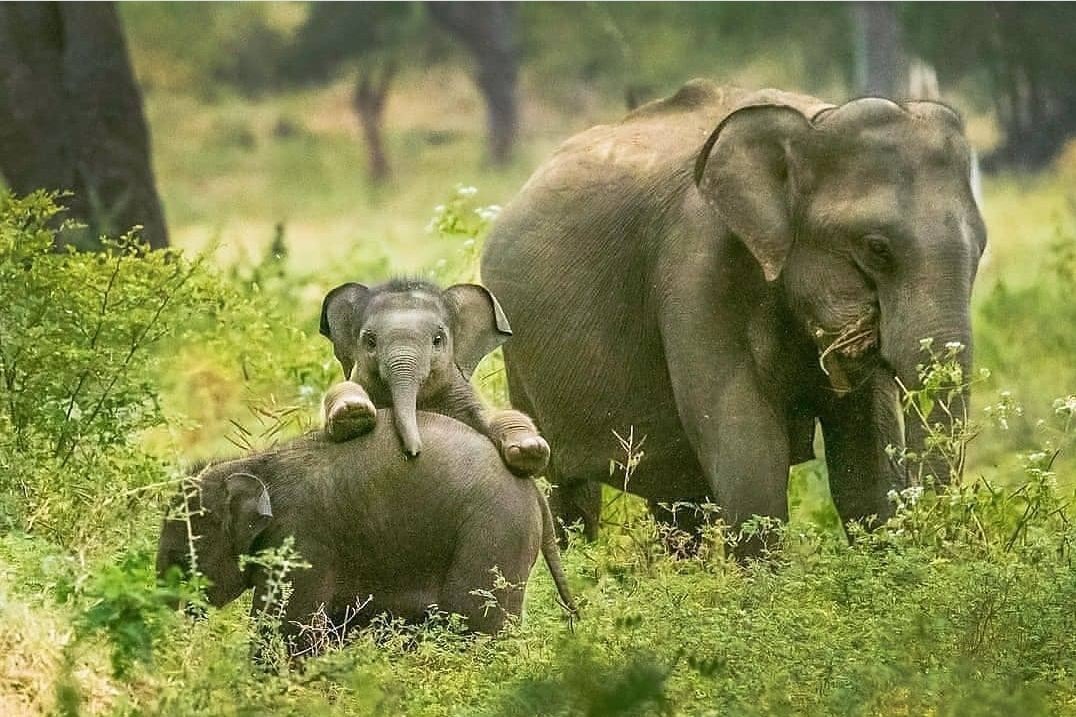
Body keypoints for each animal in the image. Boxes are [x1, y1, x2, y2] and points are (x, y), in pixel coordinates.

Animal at [156, 410, 576, 656]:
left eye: (181, 561)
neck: (256, 463)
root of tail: (534, 491)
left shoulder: (301, 540)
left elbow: (290, 628)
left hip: (493, 536)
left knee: (478, 626)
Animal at [319, 278, 550, 477]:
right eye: (370, 341)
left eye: (437, 340)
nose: (413, 453)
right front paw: (353, 411)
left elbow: (498, 416)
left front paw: (530, 449)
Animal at [480, 80, 986, 550]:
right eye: (877, 249)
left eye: (981, 248)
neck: (813, 123)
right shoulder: (697, 266)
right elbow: (748, 455)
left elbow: (866, 469)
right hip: (520, 354)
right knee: (567, 488)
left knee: (676, 498)